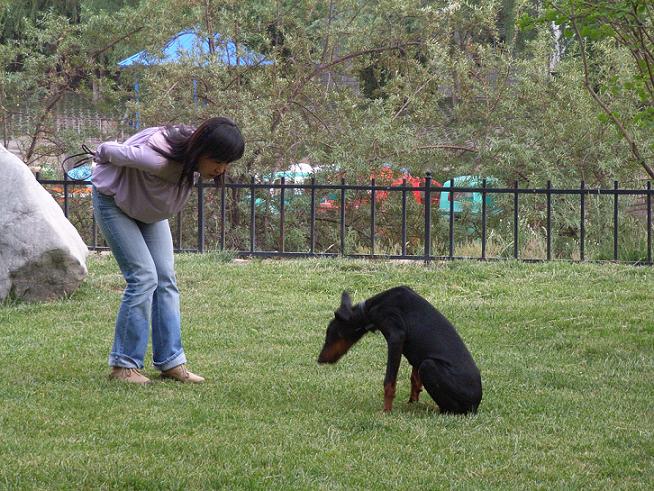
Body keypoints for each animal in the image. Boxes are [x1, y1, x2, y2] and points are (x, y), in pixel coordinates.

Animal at [318, 286, 482, 414]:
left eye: (331, 334)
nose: (319, 359)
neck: (369, 309)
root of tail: (476, 404)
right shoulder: (414, 353)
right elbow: (414, 379)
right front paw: (412, 402)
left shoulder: (396, 338)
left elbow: (389, 382)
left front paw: (386, 411)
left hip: (429, 365)